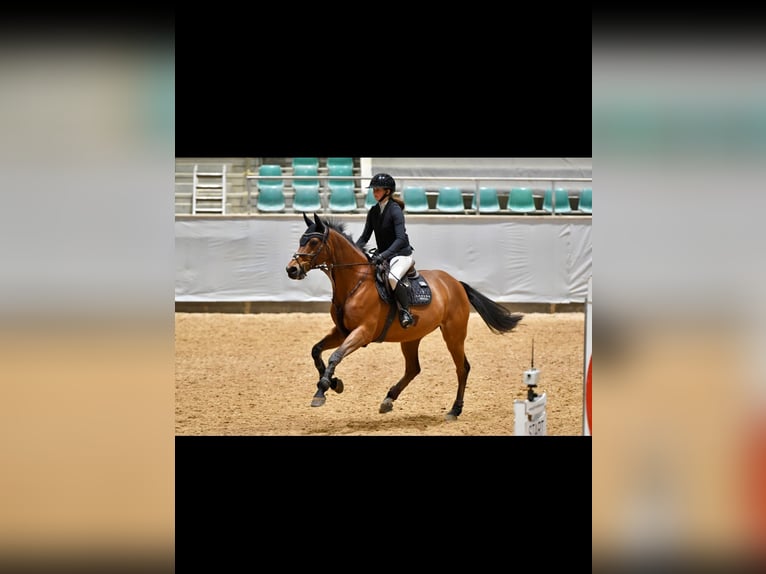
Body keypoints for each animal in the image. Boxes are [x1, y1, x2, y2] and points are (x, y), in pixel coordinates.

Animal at [284, 214, 524, 420]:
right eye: (300, 240)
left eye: (313, 242)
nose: (291, 269)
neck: (355, 283)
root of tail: (455, 283)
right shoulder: (342, 332)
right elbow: (316, 351)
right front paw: (333, 383)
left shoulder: (362, 333)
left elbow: (335, 356)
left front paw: (322, 391)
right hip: (411, 338)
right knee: (413, 368)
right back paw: (389, 399)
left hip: (453, 335)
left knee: (462, 368)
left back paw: (454, 410)